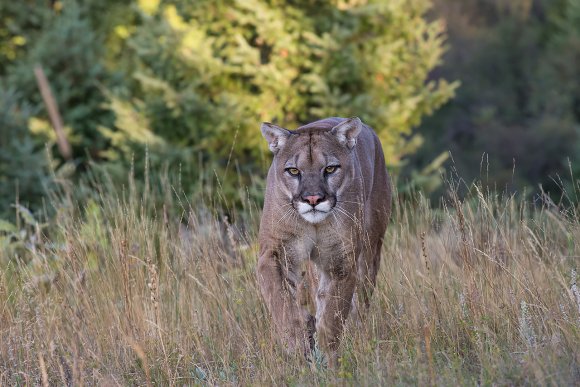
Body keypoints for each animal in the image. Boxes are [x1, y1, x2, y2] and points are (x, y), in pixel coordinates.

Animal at [258, 116, 390, 368]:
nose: (312, 199)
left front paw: (329, 360)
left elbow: (332, 316)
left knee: (360, 304)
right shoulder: (274, 253)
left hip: (371, 250)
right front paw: (297, 346)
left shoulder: (342, 262)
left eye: (330, 168)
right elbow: (282, 303)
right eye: (293, 170)